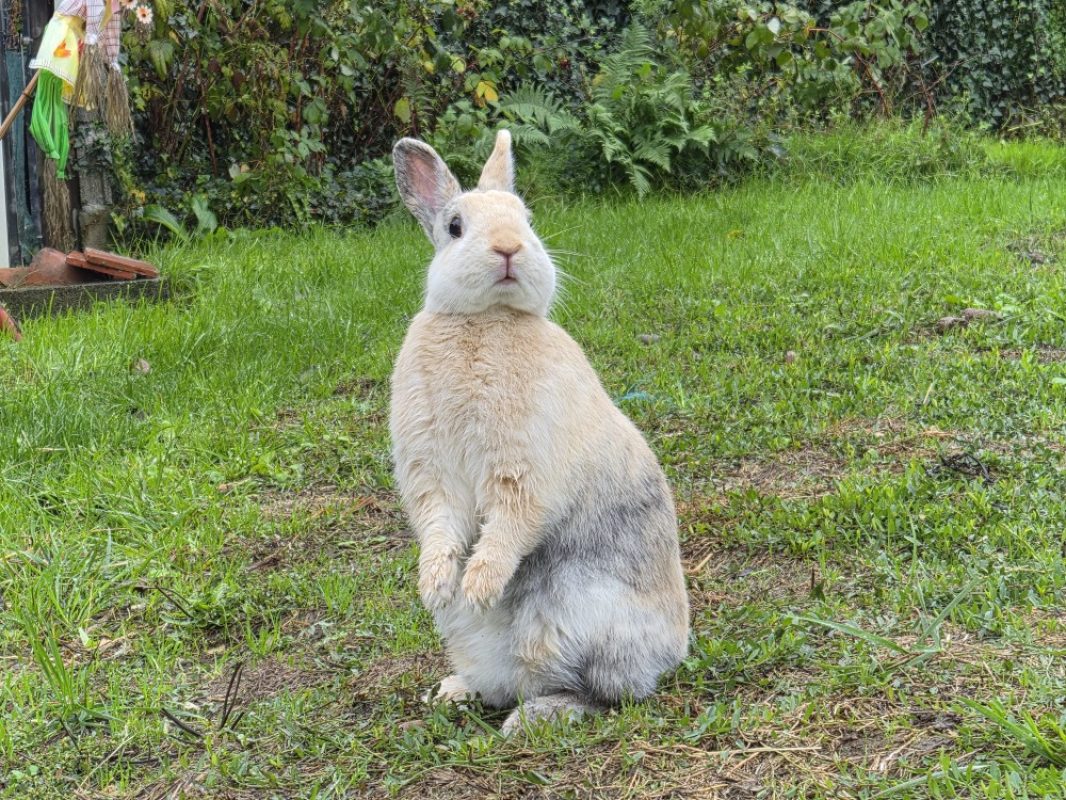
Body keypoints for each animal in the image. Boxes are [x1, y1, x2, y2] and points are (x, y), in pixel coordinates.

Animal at [389, 129, 689, 734]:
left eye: (526, 219)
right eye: (454, 226)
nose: (508, 249)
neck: (485, 320)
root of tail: (674, 653)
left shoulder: (522, 474)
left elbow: (509, 527)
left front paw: (478, 586)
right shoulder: (432, 476)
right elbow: (440, 527)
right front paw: (436, 586)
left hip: (574, 626)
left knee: (605, 695)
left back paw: (532, 718)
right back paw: (454, 691)